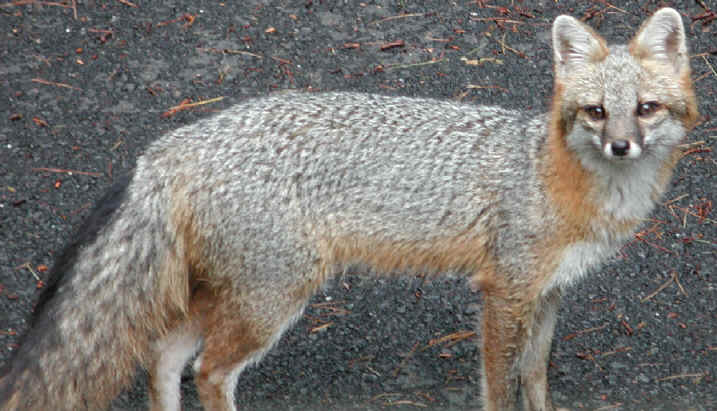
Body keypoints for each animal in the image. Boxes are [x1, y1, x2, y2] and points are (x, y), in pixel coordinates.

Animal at [0, 7, 699, 411]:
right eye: (597, 111)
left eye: (646, 109)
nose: (621, 145)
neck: (563, 181)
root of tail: (175, 142)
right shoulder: (505, 292)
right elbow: (501, 388)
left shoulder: (549, 293)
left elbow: (536, 381)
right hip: (270, 300)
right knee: (210, 372)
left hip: (227, 293)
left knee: (165, 357)